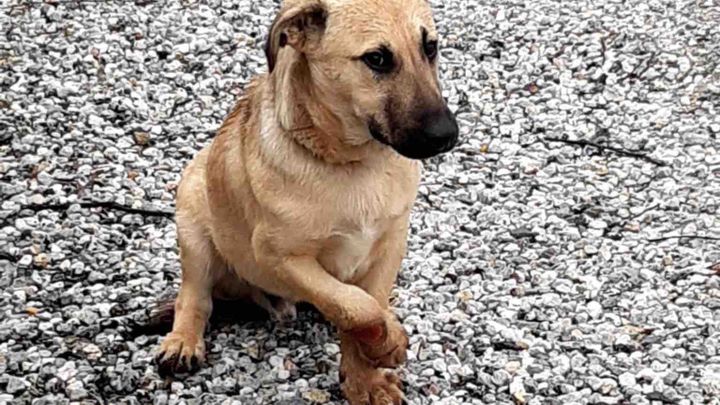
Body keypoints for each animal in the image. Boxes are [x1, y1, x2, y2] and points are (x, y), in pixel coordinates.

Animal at [155, 0, 458, 403]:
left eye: (430, 47)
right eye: (376, 59)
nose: (446, 135)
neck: (353, 164)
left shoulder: (390, 242)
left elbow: (365, 306)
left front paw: (366, 379)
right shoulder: (278, 256)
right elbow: (358, 308)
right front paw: (387, 343)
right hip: (193, 218)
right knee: (195, 295)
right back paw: (182, 341)